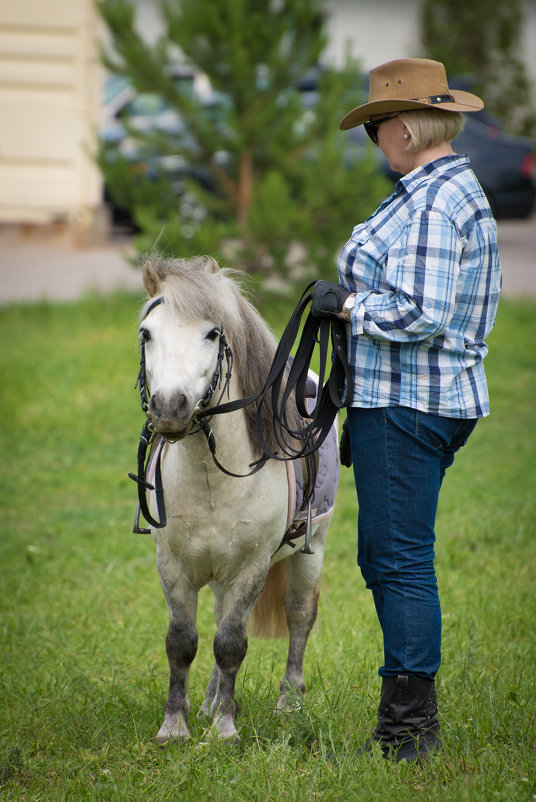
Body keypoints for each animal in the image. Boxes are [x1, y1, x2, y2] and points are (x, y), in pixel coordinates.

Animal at [135, 256, 340, 744]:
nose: (170, 408)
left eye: (213, 333)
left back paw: (289, 702)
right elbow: (183, 642)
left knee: (299, 616)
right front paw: (176, 725)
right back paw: (211, 701)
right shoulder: (173, 565)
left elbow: (231, 643)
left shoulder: (252, 567)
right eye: (147, 333)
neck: (212, 480)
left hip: (312, 549)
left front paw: (224, 731)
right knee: (219, 614)